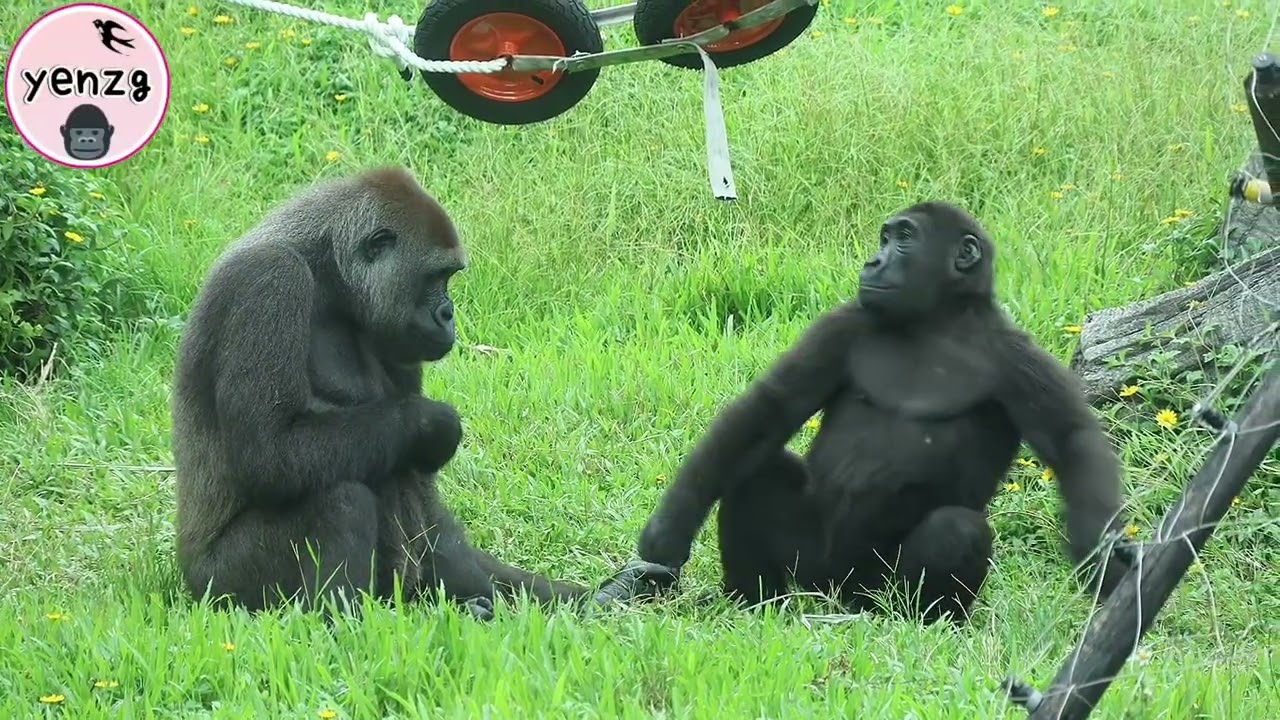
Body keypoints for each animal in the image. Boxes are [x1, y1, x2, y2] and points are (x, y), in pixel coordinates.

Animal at [597, 202, 1131, 624]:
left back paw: (930, 622)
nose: (873, 261)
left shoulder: (1017, 354)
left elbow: (1072, 441)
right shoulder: (843, 323)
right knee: (758, 472)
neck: (936, 321)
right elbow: (767, 409)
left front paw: (1101, 560)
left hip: (874, 591)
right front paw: (670, 528)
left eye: (905, 239)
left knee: (955, 529)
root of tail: (839, 595)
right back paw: (752, 602)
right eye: (885, 238)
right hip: (814, 571)